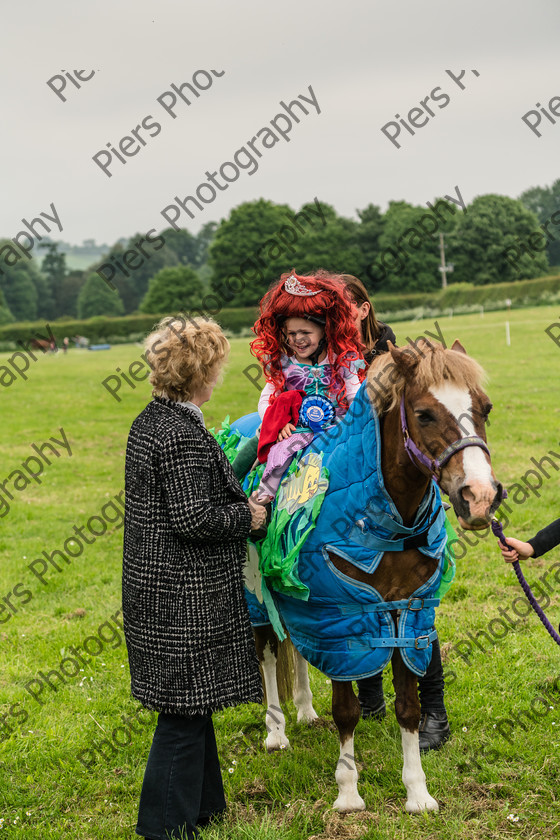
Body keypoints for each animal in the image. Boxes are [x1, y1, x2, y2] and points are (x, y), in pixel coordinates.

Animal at [246, 340, 504, 812]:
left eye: (485, 407)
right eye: (423, 414)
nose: (479, 497)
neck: (387, 523)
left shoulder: (405, 612)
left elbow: (409, 708)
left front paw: (418, 792)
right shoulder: (341, 616)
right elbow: (346, 711)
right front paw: (348, 793)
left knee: (297, 651)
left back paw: (305, 710)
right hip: (257, 596)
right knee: (269, 654)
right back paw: (276, 731)